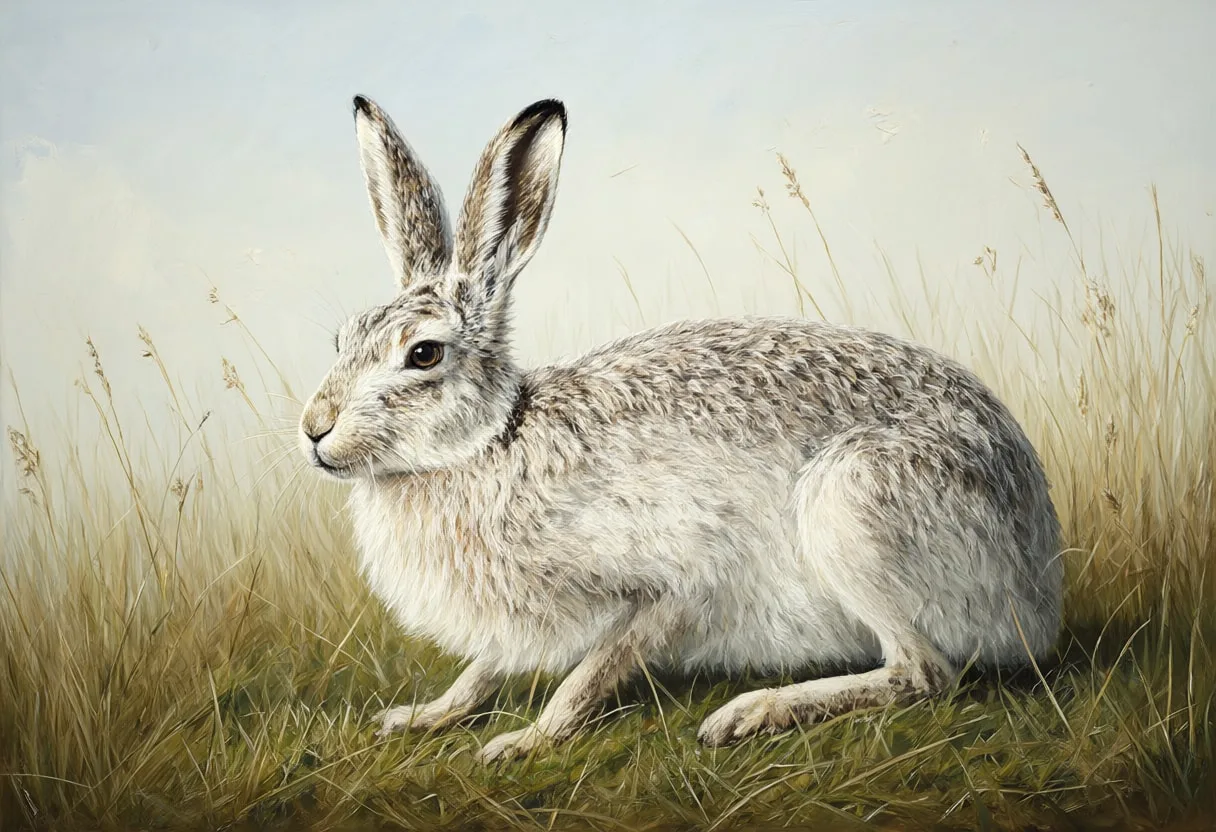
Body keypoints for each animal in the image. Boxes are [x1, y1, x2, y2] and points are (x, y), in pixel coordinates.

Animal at [298, 94, 1064, 764]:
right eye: (343, 338)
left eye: (423, 355)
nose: (313, 429)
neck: (488, 441)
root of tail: (1038, 582)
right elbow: (480, 672)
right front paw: (421, 716)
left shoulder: (670, 586)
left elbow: (588, 676)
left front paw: (523, 742)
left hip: (853, 506)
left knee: (924, 671)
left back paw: (751, 713)